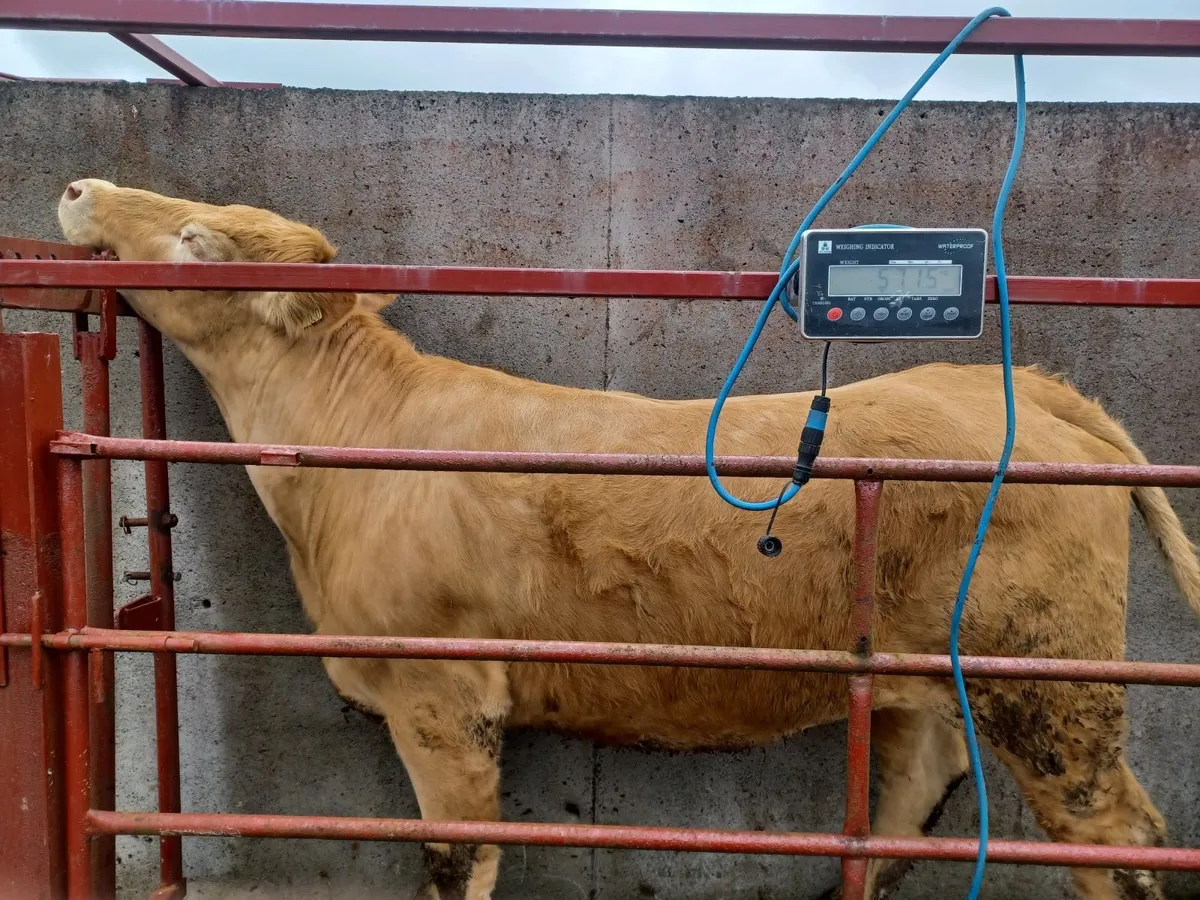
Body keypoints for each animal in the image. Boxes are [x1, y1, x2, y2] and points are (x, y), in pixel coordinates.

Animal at [57, 179, 1199, 900]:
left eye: (197, 239)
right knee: (904, 808)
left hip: (1050, 679)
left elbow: (456, 857)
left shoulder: (441, 692)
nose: (78, 187)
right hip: (928, 679)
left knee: (1119, 838)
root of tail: (1021, 388)